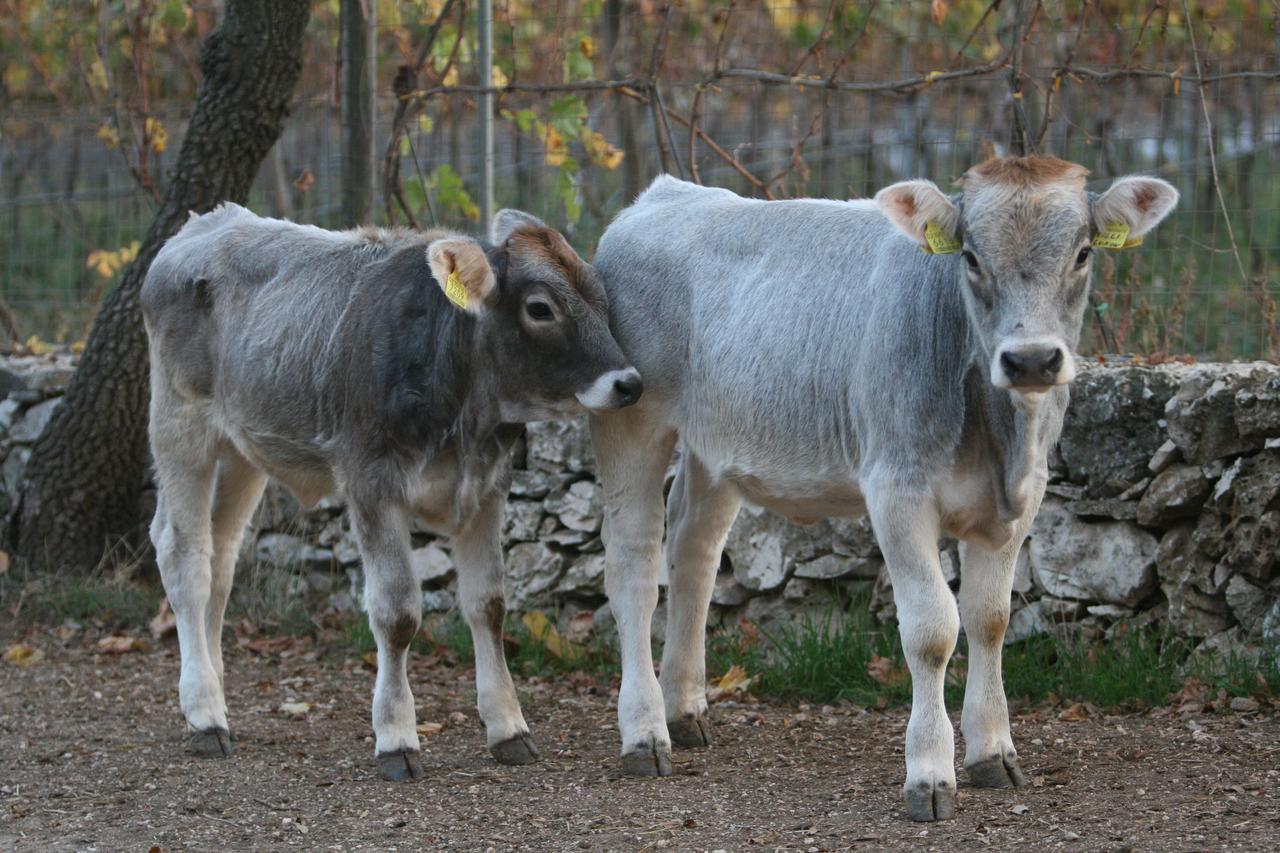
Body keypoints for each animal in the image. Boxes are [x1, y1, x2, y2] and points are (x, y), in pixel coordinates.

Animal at [142, 201, 640, 778]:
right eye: (541, 308)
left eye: (602, 299)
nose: (629, 382)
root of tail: (206, 222)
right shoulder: (371, 484)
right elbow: (397, 613)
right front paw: (397, 736)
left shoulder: (486, 488)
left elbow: (488, 604)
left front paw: (508, 727)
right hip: (181, 427)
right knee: (185, 559)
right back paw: (204, 715)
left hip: (244, 450)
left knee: (220, 558)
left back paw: (214, 694)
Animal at [586, 156, 1172, 819]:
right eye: (971, 257)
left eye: (1082, 253)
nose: (1030, 361)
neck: (1000, 436)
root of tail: (663, 194)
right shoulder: (897, 490)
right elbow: (933, 628)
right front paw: (930, 773)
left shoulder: (1021, 500)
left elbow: (991, 618)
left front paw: (994, 752)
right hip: (631, 420)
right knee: (635, 567)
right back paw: (645, 733)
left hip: (718, 443)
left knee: (695, 552)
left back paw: (684, 712)